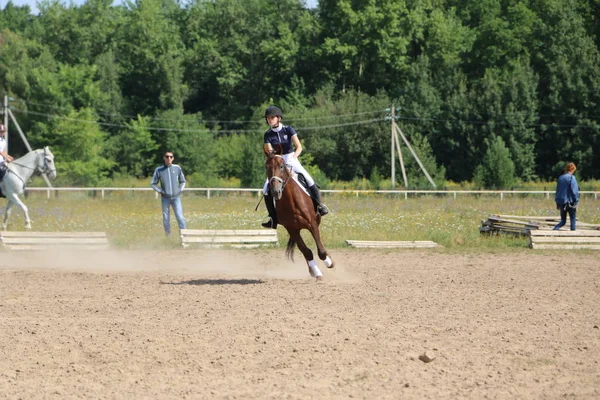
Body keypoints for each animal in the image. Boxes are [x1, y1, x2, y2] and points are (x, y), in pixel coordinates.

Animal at [266, 148, 336, 282]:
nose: (275, 191)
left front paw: (330, 263)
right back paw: (312, 270)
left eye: (281, 166)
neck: (291, 201)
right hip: (296, 230)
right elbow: (307, 251)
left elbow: (321, 251)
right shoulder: (292, 229)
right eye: (267, 167)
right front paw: (317, 274)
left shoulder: (312, 224)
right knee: (304, 250)